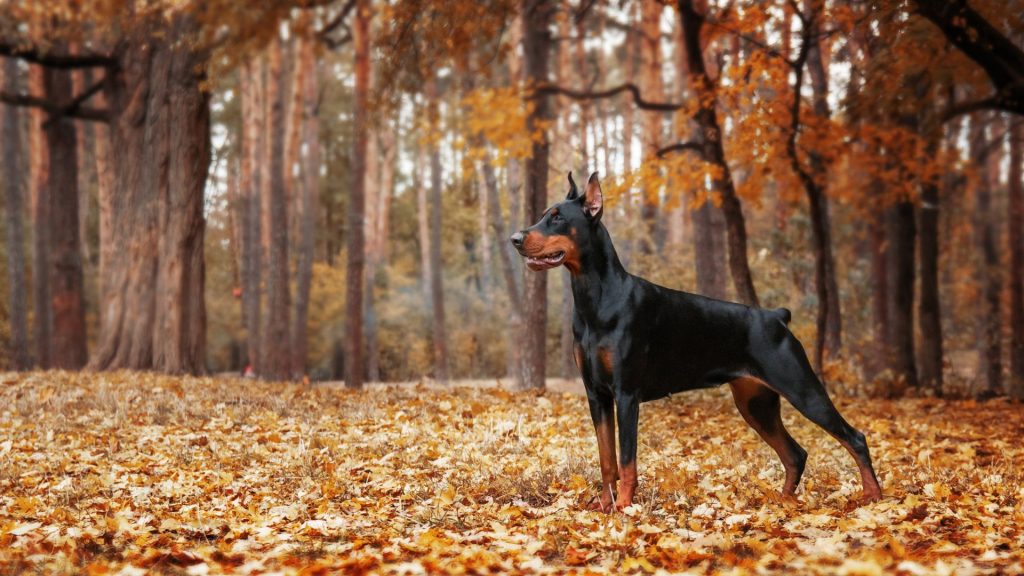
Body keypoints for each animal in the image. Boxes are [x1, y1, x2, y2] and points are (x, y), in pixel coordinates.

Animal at [512, 172, 880, 508]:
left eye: (558, 218)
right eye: (542, 214)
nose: (515, 238)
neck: (596, 299)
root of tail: (776, 316)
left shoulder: (626, 394)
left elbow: (627, 461)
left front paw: (625, 510)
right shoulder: (596, 395)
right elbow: (607, 460)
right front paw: (605, 507)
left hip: (802, 388)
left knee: (854, 437)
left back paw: (873, 497)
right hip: (755, 403)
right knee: (795, 454)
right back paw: (782, 502)